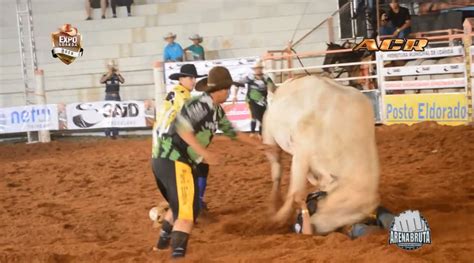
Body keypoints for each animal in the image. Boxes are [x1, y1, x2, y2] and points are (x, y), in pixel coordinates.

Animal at [264, 76, 380, 235]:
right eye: (338, 206)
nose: (313, 230)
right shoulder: (301, 154)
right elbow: (295, 191)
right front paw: (279, 218)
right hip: (269, 138)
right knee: (276, 170)